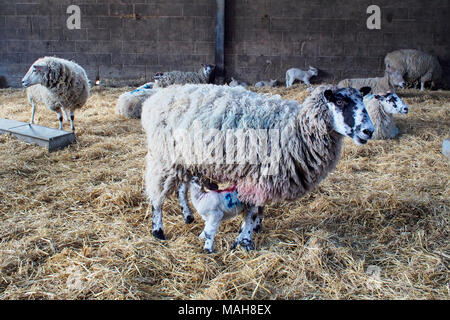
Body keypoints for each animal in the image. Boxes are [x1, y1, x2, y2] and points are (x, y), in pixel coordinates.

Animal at [142, 82, 374, 250]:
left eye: (362, 99)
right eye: (340, 101)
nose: (368, 131)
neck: (297, 127)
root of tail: (156, 98)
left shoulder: (265, 176)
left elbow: (260, 206)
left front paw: (256, 228)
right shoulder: (257, 175)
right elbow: (252, 210)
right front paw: (244, 240)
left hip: (184, 158)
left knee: (181, 188)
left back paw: (187, 216)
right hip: (164, 158)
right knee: (157, 197)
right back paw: (158, 230)